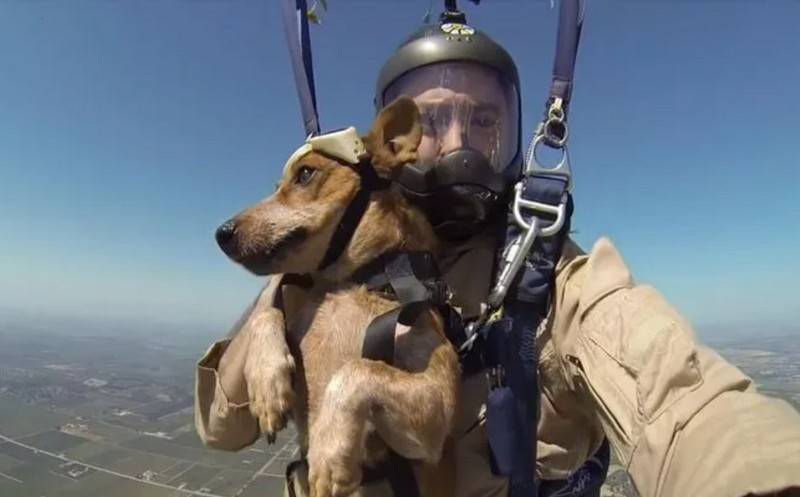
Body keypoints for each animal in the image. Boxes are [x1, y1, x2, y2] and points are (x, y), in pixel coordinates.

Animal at [216, 98, 460, 496]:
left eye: (305, 174)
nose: (221, 233)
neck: (353, 282)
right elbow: (267, 313)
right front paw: (267, 383)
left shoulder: (435, 414)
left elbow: (357, 369)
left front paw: (329, 456)